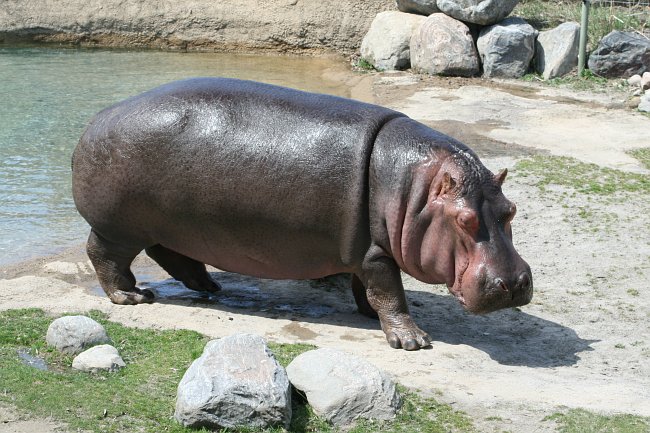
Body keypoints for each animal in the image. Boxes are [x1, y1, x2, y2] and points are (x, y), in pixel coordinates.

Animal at [72, 78, 532, 351]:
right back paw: (132, 297)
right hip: (120, 227)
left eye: (511, 211)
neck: (415, 191)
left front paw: (369, 315)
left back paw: (208, 287)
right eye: (465, 221)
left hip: (169, 225)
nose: (514, 283)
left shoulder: (362, 250)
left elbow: (368, 290)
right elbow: (390, 291)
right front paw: (414, 341)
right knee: (105, 254)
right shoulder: (375, 253)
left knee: (170, 253)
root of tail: (96, 119)